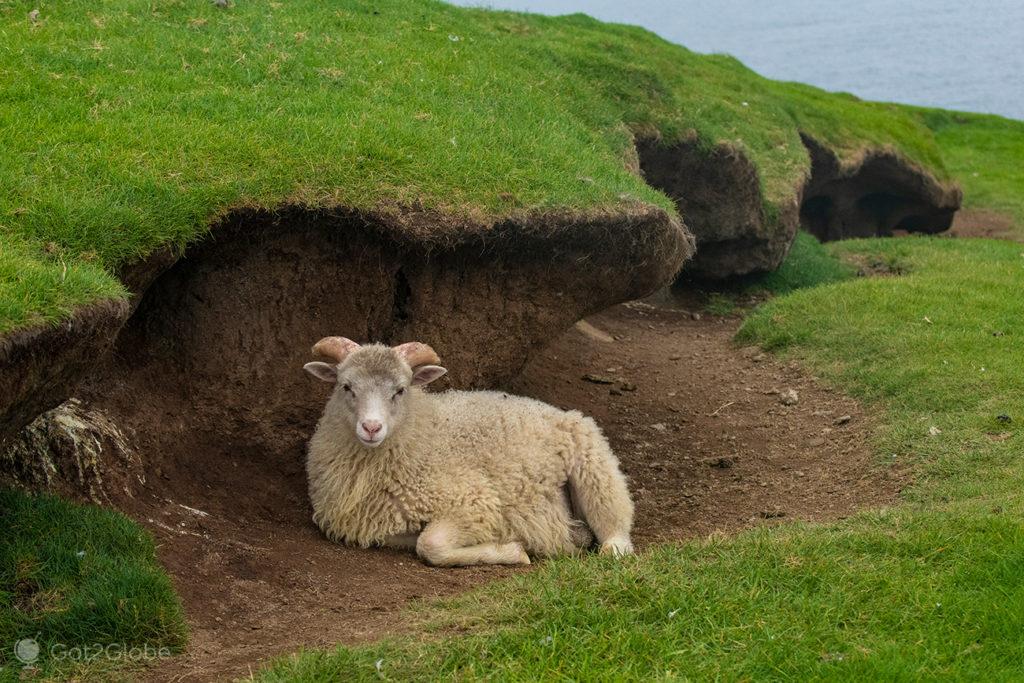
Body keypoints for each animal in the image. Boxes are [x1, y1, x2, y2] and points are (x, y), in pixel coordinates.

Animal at [299, 335, 630, 565]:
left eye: (400, 390)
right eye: (346, 387)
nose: (371, 428)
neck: (419, 433)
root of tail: (555, 410)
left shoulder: (475, 502)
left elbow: (431, 545)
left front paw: (514, 550)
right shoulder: (391, 527)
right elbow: (420, 541)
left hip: (595, 468)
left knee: (617, 530)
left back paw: (610, 549)